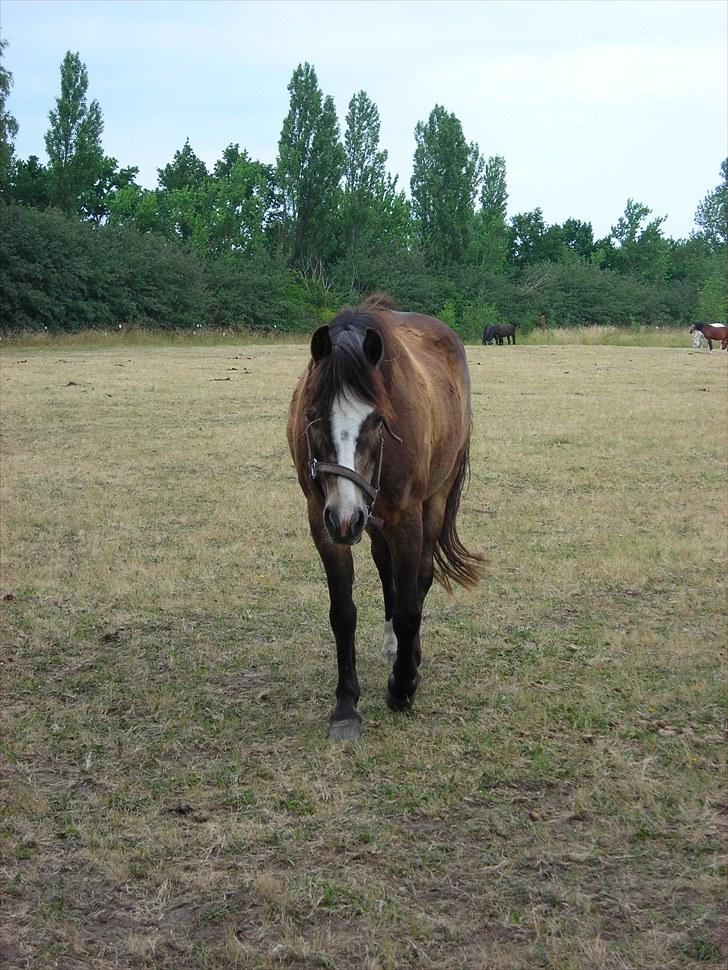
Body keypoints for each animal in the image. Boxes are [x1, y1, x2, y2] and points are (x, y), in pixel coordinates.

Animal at [287, 295, 484, 741]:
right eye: (312, 415)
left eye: (378, 420)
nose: (346, 518)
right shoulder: (321, 521)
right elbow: (343, 612)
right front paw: (346, 704)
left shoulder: (406, 517)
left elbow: (412, 604)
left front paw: (402, 687)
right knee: (385, 571)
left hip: (430, 501)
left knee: (421, 580)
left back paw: (410, 656)